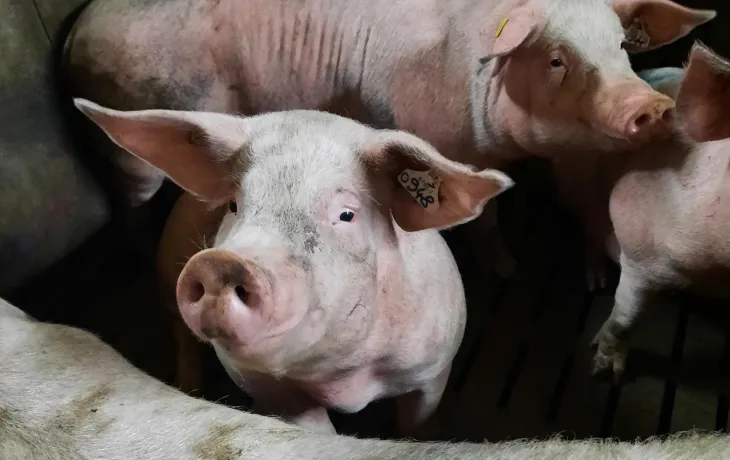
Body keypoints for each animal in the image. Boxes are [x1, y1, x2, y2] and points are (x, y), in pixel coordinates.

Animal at [62, 0, 716, 279]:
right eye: (557, 58)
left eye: (623, 46)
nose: (653, 105)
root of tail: (76, 32)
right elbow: (475, 220)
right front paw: (503, 272)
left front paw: (509, 267)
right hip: (134, 135)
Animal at [73, 98, 515, 435]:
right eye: (234, 205)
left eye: (347, 214)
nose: (221, 263)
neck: (346, 379)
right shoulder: (273, 393)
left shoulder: (433, 370)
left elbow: (417, 423)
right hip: (168, 274)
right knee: (184, 340)